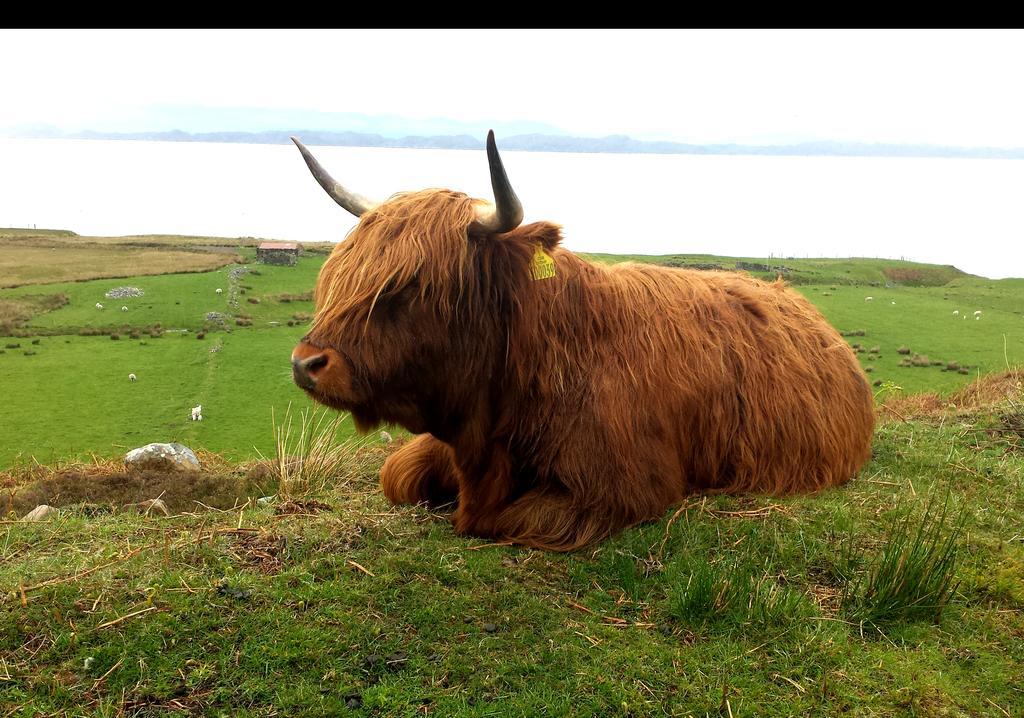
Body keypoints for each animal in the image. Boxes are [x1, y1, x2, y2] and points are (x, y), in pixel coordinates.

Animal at [288, 132, 872, 553]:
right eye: (342, 272)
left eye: (412, 285)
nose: (306, 363)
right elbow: (397, 475)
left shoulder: (618, 491)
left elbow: (495, 519)